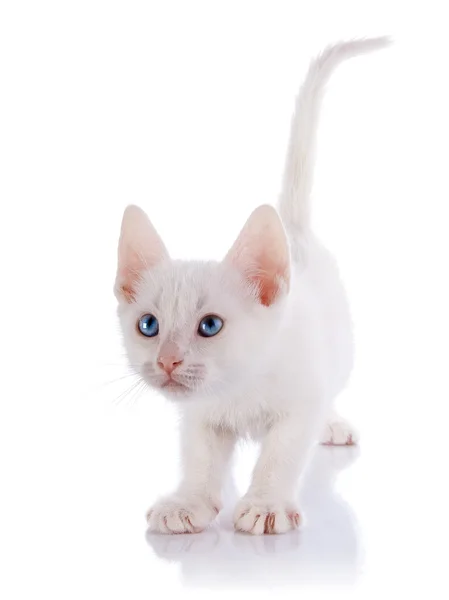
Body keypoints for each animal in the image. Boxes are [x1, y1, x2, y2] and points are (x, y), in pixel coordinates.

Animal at [114, 37, 388, 536]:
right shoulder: (199, 417)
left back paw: (332, 424)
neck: (239, 386)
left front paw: (265, 504)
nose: (166, 361)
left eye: (210, 326)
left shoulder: (300, 404)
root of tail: (293, 230)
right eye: (148, 325)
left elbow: (280, 455)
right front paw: (188, 502)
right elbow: (199, 460)